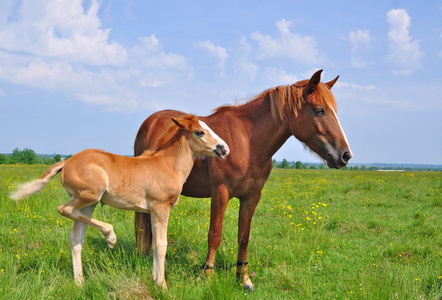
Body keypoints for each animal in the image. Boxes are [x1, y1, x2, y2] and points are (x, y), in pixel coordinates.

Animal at [133, 69, 350, 290]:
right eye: (319, 110)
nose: (345, 155)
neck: (247, 143)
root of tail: (151, 120)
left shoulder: (251, 196)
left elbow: (244, 236)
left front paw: (243, 278)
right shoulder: (220, 193)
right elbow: (215, 234)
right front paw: (207, 275)